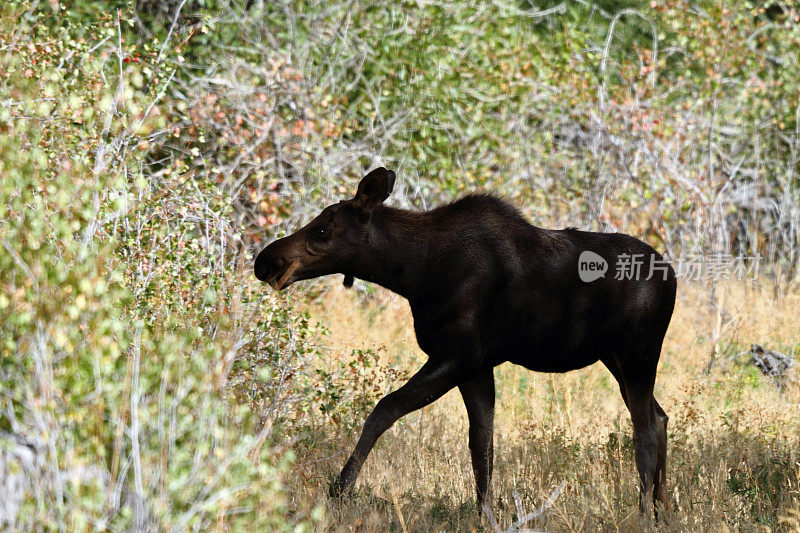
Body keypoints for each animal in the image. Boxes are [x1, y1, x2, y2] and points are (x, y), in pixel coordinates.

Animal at [255, 167, 676, 516]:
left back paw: (644, 514)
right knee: (659, 416)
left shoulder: (457, 357)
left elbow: (383, 410)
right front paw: (485, 515)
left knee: (644, 429)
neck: (414, 272)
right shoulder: (477, 367)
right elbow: (482, 446)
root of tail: (672, 276)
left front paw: (339, 491)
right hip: (615, 359)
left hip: (638, 353)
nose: (265, 261)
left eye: (322, 231)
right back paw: (662, 510)